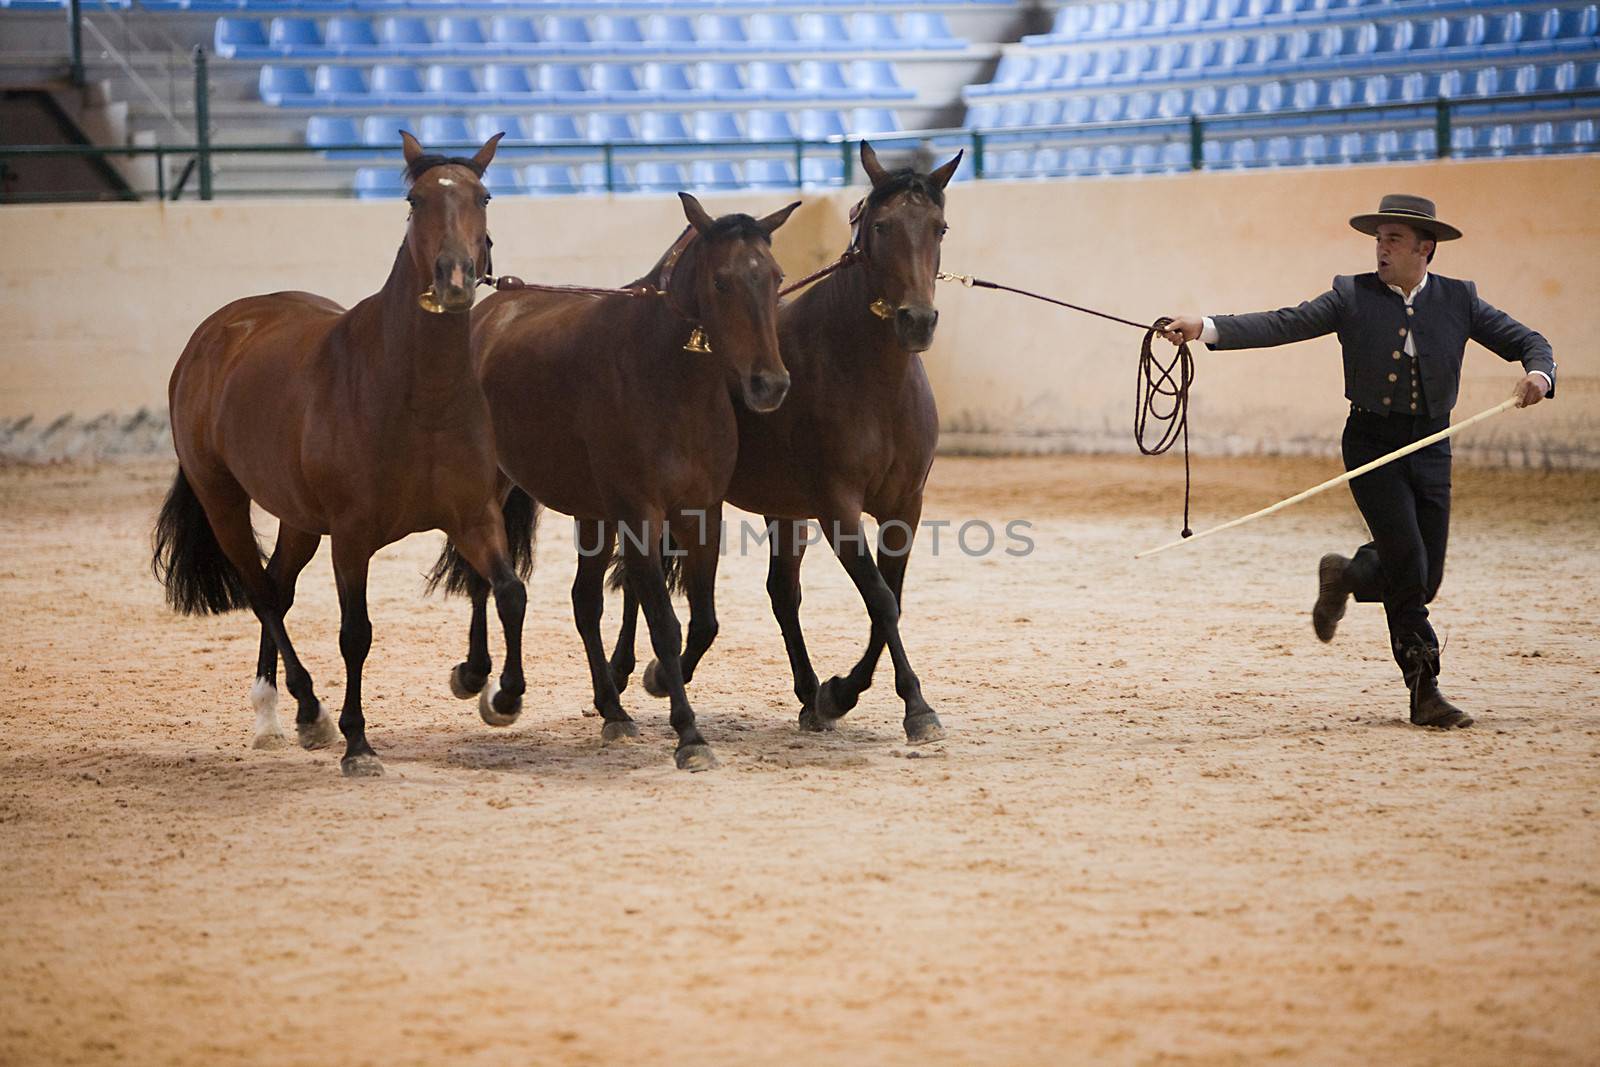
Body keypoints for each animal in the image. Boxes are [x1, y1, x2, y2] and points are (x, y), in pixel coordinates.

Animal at [155, 133, 521, 780]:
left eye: (484, 196)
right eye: (414, 200)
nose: (454, 280)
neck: (417, 394)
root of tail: (218, 331)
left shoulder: (474, 517)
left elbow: (505, 591)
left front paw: (495, 693)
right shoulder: (351, 538)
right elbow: (356, 634)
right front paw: (358, 744)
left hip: (299, 519)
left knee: (277, 588)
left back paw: (277, 715)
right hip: (224, 501)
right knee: (260, 594)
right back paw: (307, 712)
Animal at [428, 194, 796, 767]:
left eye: (776, 277)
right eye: (722, 282)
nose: (770, 384)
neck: (666, 376)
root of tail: (488, 316)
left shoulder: (699, 515)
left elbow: (703, 620)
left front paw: (655, 686)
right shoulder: (639, 515)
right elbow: (664, 623)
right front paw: (690, 735)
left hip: (592, 514)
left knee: (583, 601)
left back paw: (611, 710)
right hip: (494, 490)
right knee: (491, 581)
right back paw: (490, 682)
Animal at [608, 139, 960, 742]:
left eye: (938, 227)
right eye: (883, 226)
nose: (917, 320)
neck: (867, 375)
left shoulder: (904, 508)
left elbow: (887, 602)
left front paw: (841, 694)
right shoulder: (838, 507)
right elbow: (881, 599)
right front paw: (898, 703)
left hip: (781, 509)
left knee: (781, 593)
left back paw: (805, 693)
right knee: (639, 582)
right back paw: (630, 671)